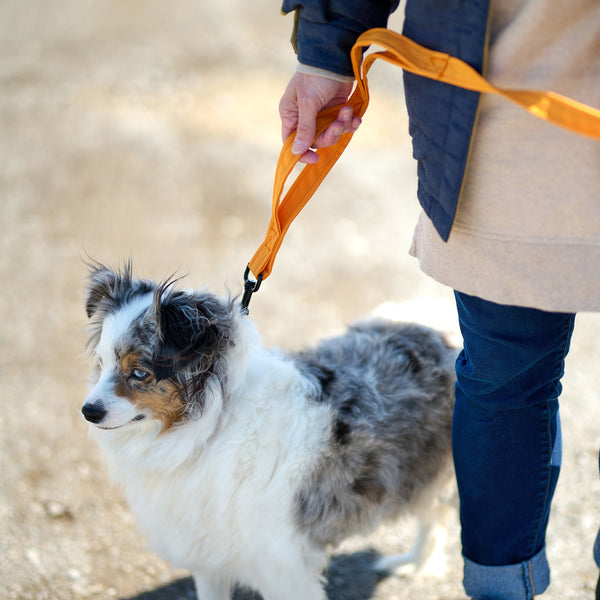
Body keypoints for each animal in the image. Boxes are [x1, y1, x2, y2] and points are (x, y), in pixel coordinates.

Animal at [82, 264, 458, 600]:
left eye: (139, 372)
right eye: (101, 364)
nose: (88, 411)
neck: (212, 426)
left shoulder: (284, 567)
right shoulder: (209, 555)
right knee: (435, 517)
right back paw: (417, 565)